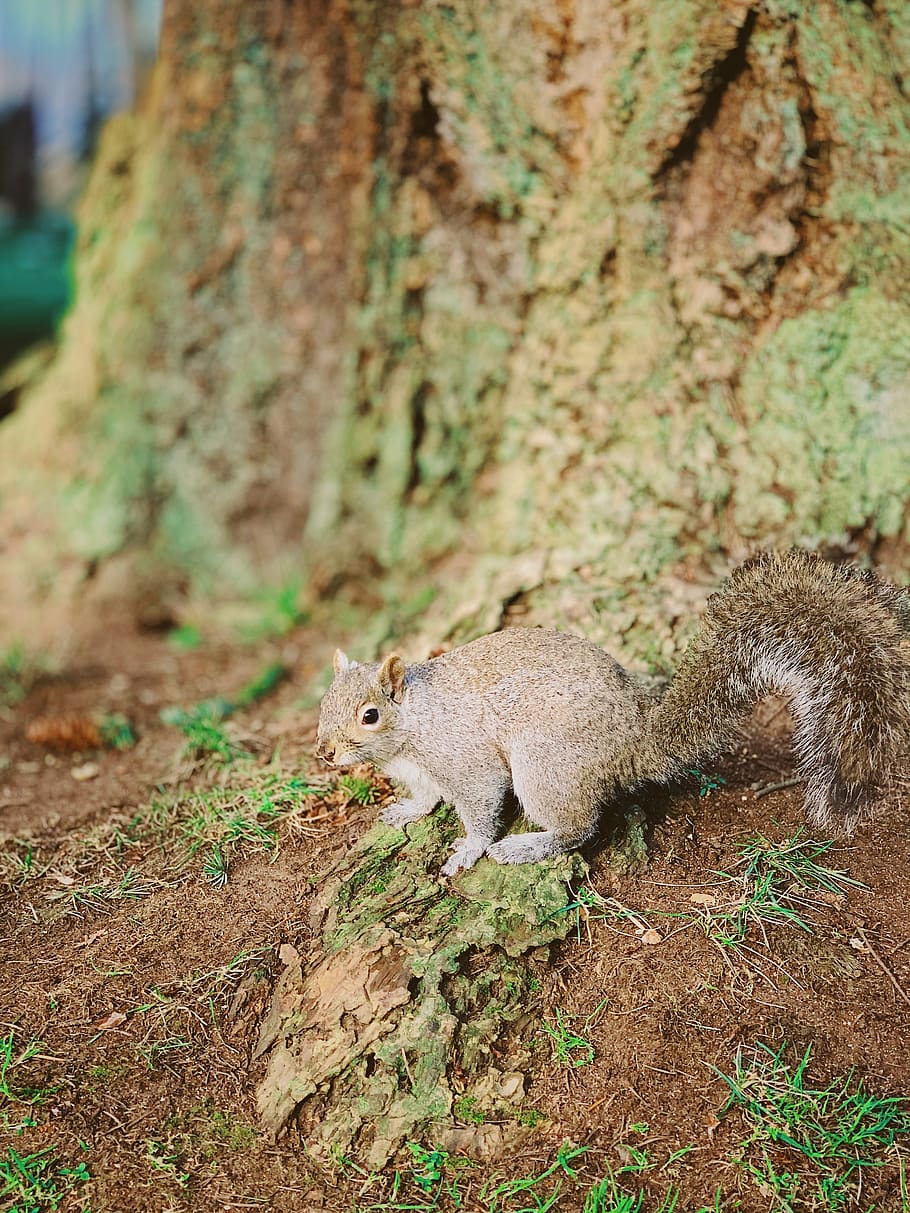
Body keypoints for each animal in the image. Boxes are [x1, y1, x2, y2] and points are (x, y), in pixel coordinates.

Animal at [315, 551, 910, 876]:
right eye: (323, 702)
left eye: (369, 715)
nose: (324, 752)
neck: (411, 729)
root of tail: (632, 742)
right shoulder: (419, 771)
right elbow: (425, 797)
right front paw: (405, 811)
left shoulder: (462, 758)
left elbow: (480, 803)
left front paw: (468, 849)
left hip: (546, 766)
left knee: (580, 827)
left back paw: (530, 844)